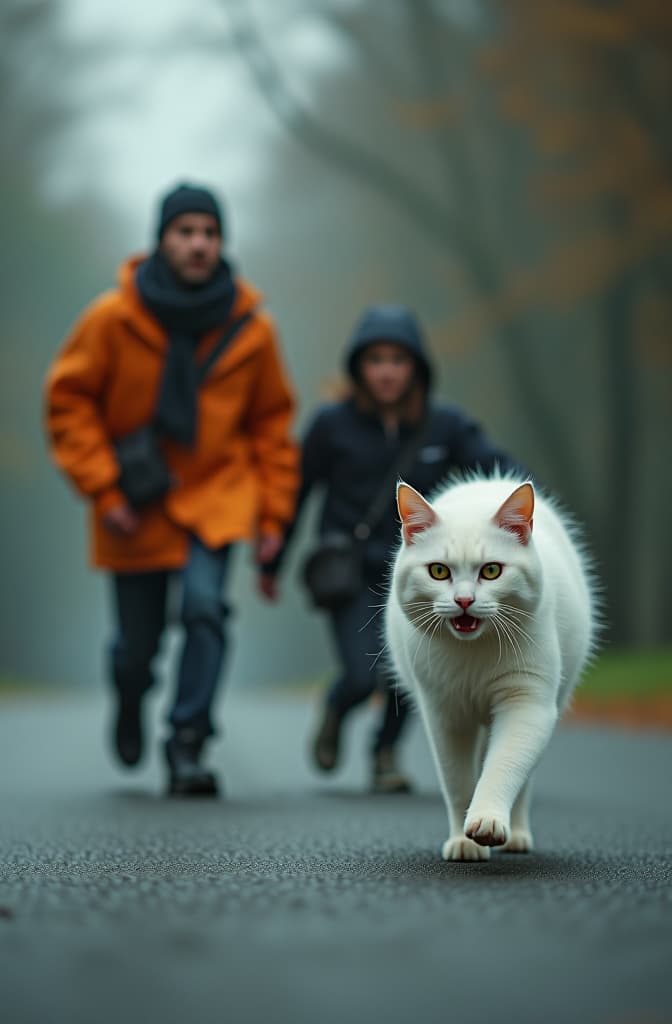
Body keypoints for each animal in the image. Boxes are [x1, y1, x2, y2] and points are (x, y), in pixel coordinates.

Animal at [383, 475, 598, 860]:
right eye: (438, 571)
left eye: (492, 570)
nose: (464, 600)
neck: (473, 654)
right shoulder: (445, 714)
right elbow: (457, 782)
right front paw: (463, 842)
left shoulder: (527, 702)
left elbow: (504, 765)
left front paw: (487, 821)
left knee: (524, 777)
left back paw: (517, 836)